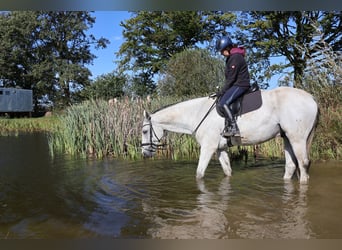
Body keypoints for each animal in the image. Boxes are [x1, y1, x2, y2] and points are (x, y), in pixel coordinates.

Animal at [141, 87, 318, 184]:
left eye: (144, 131)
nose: (144, 153)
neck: (196, 113)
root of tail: (311, 98)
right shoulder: (220, 149)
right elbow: (227, 171)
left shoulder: (208, 147)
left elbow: (199, 174)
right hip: (287, 138)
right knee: (291, 166)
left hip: (297, 139)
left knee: (303, 164)